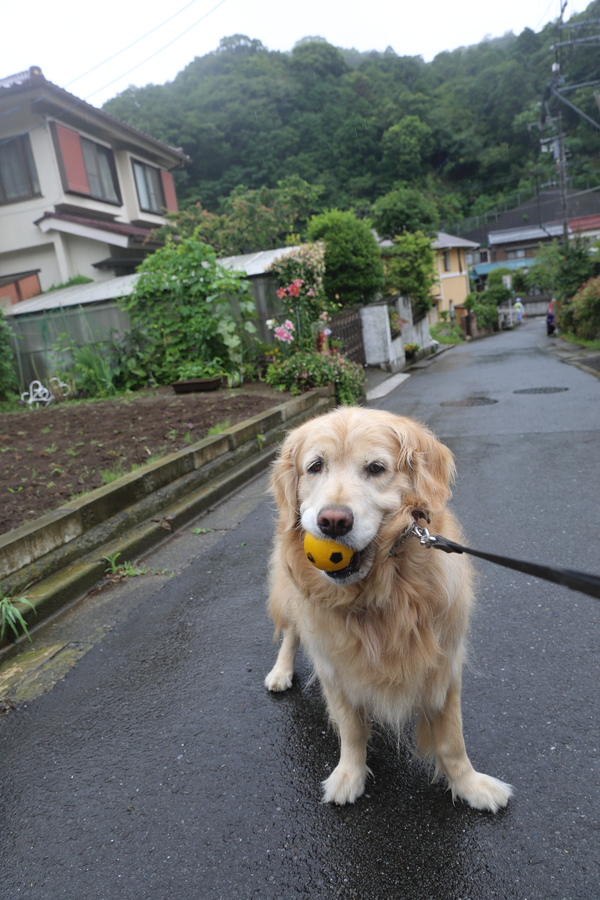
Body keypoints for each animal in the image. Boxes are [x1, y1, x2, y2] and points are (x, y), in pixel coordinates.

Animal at [264, 404, 512, 812]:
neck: (382, 590)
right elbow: (351, 730)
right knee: (290, 632)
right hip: (288, 595)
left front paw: (470, 785)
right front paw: (349, 776)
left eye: (376, 468)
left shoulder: (444, 664)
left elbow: (452, 739)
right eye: (315, 467)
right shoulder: (335, 668)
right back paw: (281, 671)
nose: (333, 521)